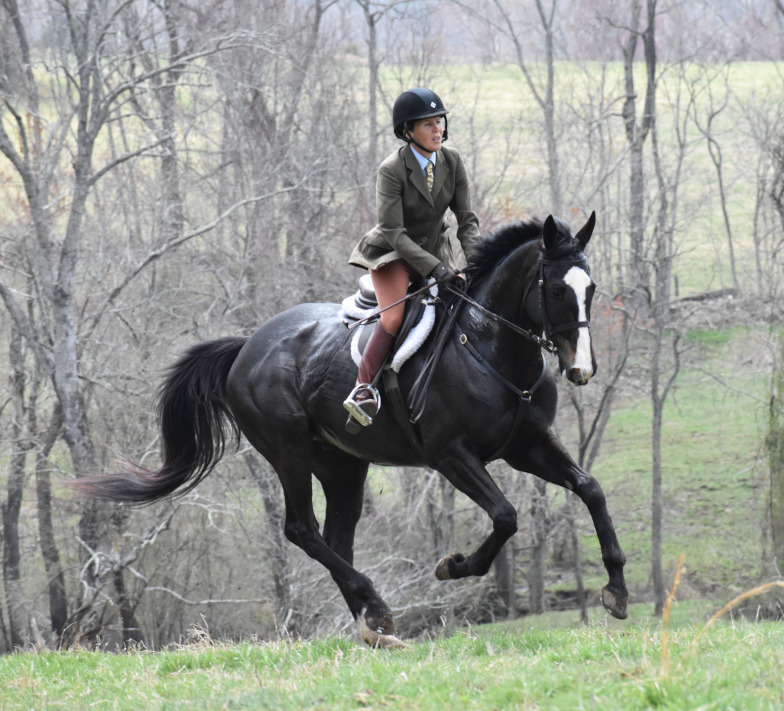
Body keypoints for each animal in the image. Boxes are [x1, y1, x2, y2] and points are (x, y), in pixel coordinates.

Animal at [79, 214, 628, 648]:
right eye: (555, 290)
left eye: (591, 289)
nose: (582, 370)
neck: (491, 347)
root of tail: (246, 347)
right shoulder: (451, 455)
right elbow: (506, 516)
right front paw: (453, 567)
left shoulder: (527, 447)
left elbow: (591, 489)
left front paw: (617, 590)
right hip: (289, 452)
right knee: (301, 530)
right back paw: (376, 606)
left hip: (343, 465)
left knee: (335, 541)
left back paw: (374, 625)